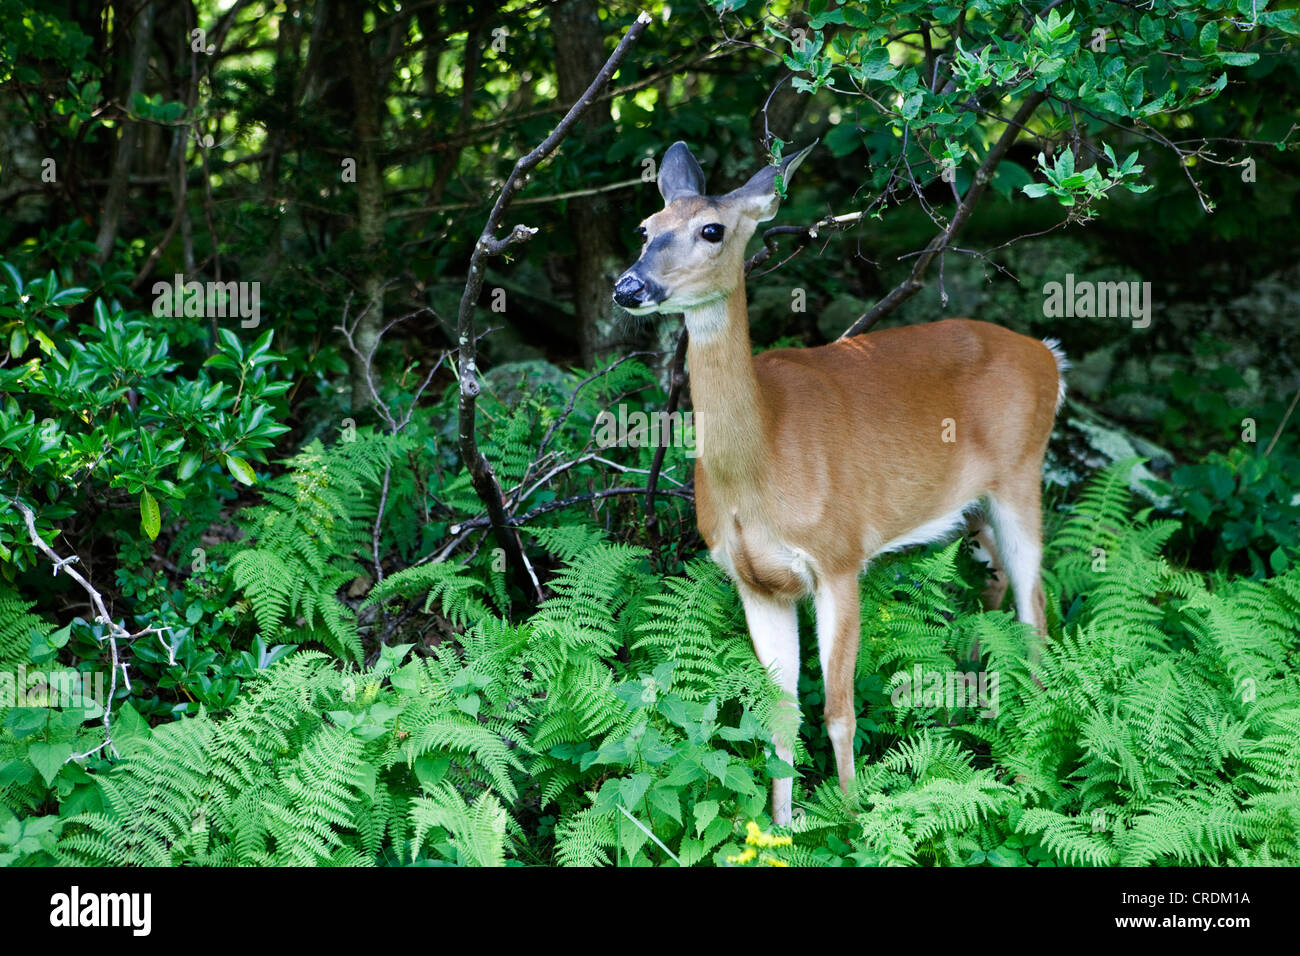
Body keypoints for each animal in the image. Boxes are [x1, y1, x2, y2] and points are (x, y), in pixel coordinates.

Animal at [612, 141, 1067, 826]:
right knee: (995, 595)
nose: (630, 285)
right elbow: (779, 714)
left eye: (712, 230)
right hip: (970, 511)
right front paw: (780, 827)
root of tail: (1048, 355)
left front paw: (853, 818)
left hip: (1021, 475)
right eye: (646, 227)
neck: (762, 467)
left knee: (1034, 606)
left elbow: (837, 710)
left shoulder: (839, 556)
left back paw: (1031, 741)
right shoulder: (754, 581)